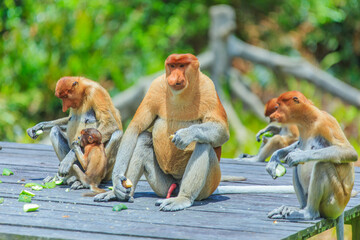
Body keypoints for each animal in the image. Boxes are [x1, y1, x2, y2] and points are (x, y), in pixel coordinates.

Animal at [95, 53, 231, 211]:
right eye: (172, 66)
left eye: (182, 66)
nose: (174, 77)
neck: (181, 94)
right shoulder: (155, 88)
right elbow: (135, 128)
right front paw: (117, 181)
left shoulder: (209, 89)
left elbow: (222, 130)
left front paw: (186, 134)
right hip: (164, 186)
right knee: (143, 139)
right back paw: (120, 194)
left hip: (210, 184)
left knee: (203, 144)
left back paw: (182, 199)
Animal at [266, 91, 356, 232]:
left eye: (277, 106)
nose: (272, 116)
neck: (309, 120)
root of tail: (342, 208)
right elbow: (297, 144)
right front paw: (274, 159)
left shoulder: (325, 122)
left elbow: (350, 152)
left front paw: (299, 155)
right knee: (296, 167)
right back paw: (298, 208)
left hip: (333, 203)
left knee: (322, 165)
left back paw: (308, 213)